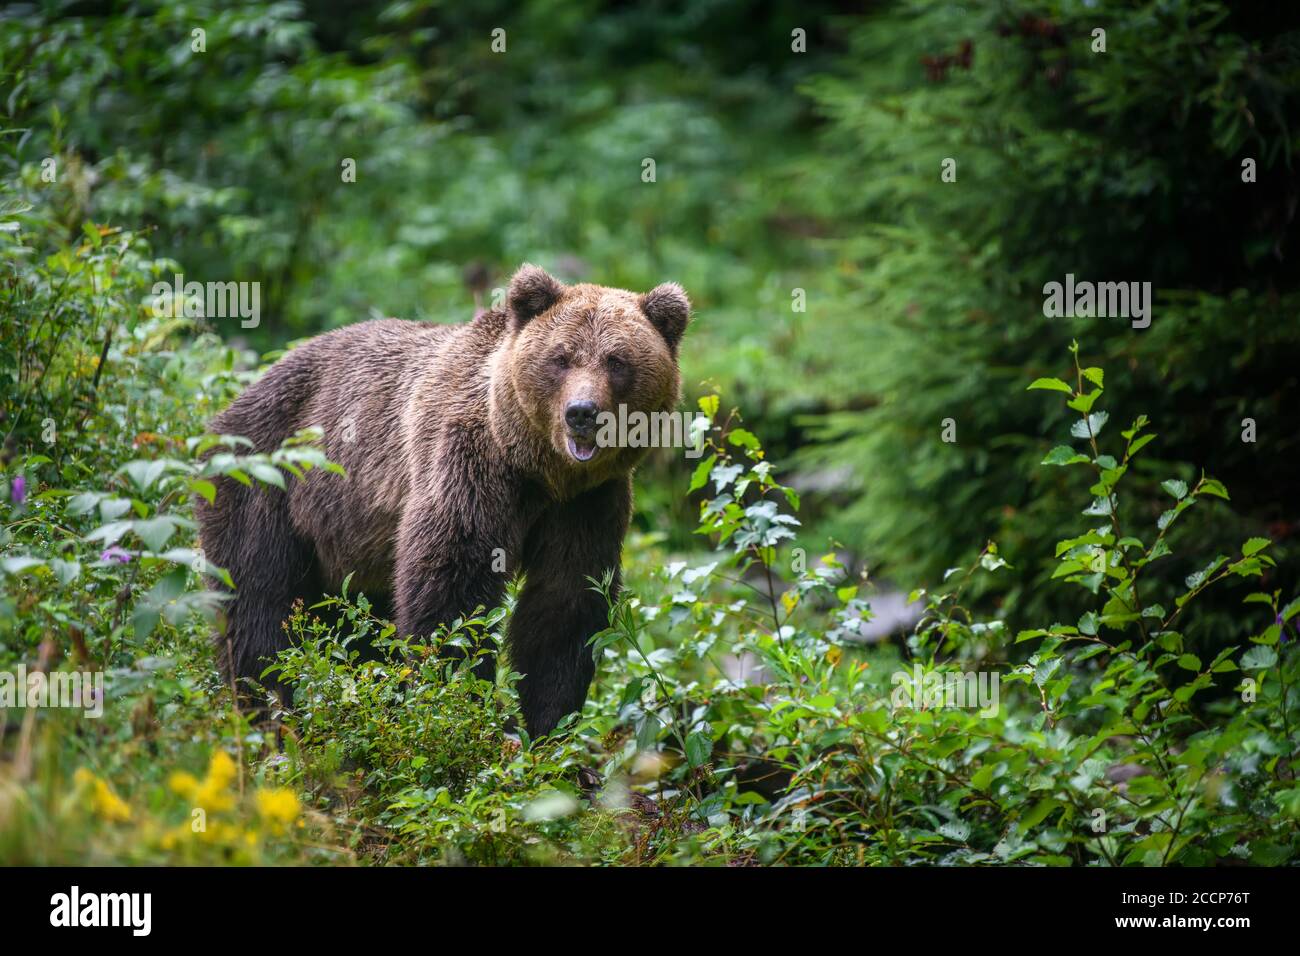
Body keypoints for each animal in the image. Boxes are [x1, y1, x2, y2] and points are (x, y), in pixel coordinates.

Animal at [196, 264, 689, 736]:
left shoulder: (588, 503)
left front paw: (547, 725)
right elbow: (453, 590)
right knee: (259, 607)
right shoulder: (467, 468)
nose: (582, 413)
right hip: (269, 483)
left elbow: (564, 602)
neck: (540, 471)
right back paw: (273, 712)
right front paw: (468, 708)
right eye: (561, 357)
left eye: (616, 360)